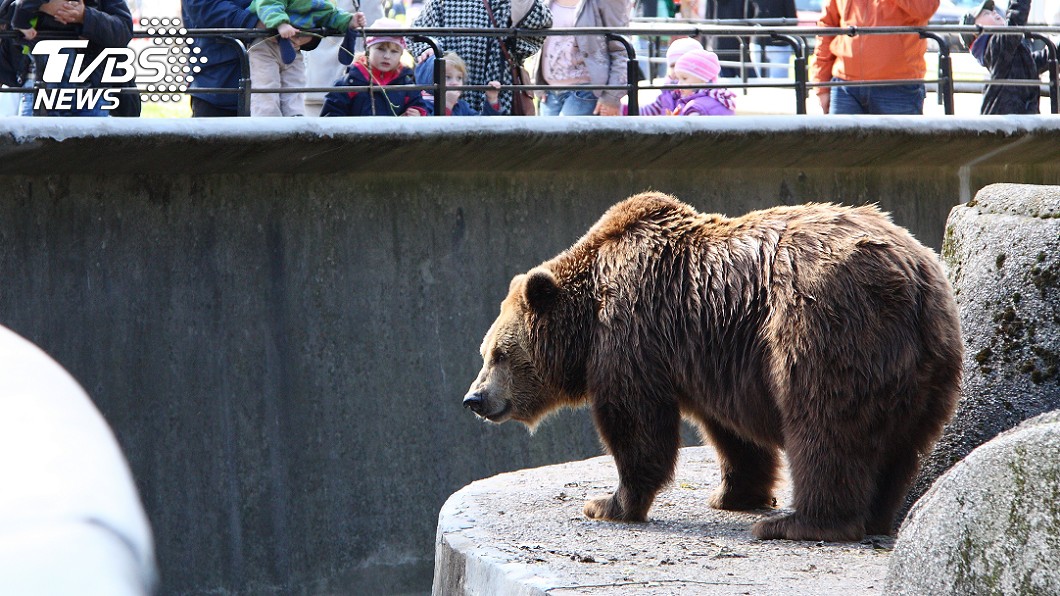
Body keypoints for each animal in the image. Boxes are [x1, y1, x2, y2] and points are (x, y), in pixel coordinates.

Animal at [462, 191, 962, 542]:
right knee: (899, 446)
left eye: (498, 354)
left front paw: (607, 503)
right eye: (484, 353)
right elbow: (733, 436)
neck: (586, 325)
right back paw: (876, 514)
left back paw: (799, 523)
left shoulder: (633, 335)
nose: (474, 398)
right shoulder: (713, 358)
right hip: (927, 366)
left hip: (826, 326)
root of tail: (913, 279)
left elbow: (636, 426)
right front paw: (732, 495)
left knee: (825, 426)